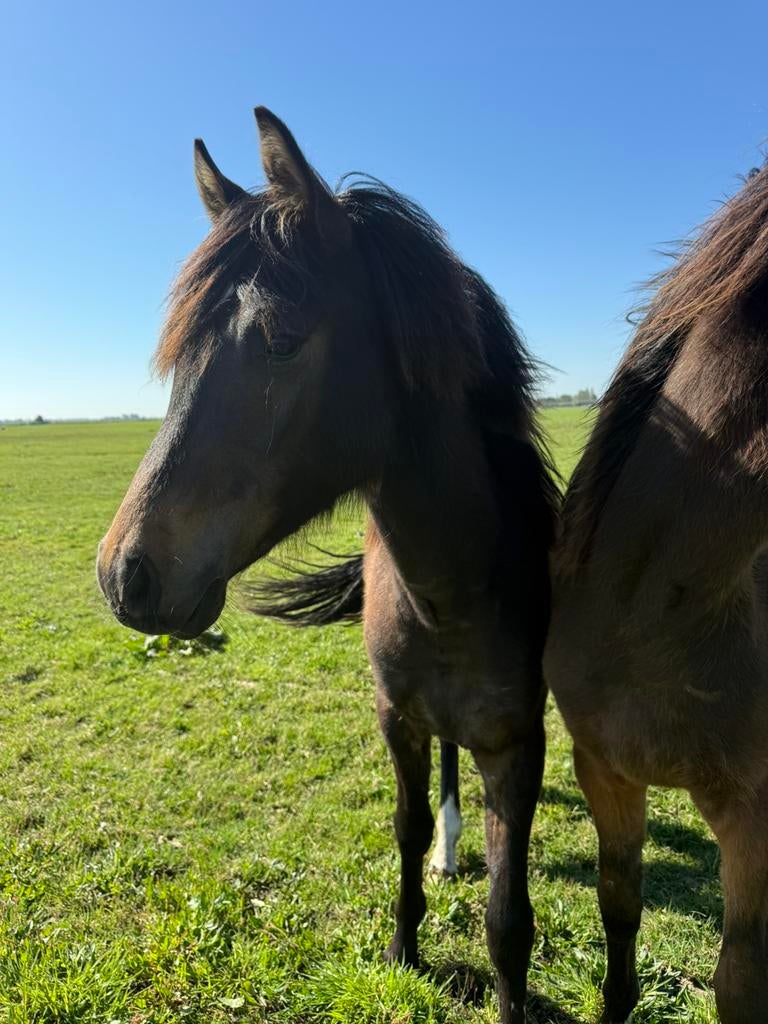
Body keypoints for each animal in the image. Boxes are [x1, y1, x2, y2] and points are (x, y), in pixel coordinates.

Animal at [96, 107, 558, 1023]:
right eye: (180, 350)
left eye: (278, 339)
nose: (125, 574)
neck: (454, 587)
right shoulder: (395, 717)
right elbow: (405, 831)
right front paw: (404, 946)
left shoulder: (518, 745)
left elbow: (508, 917)